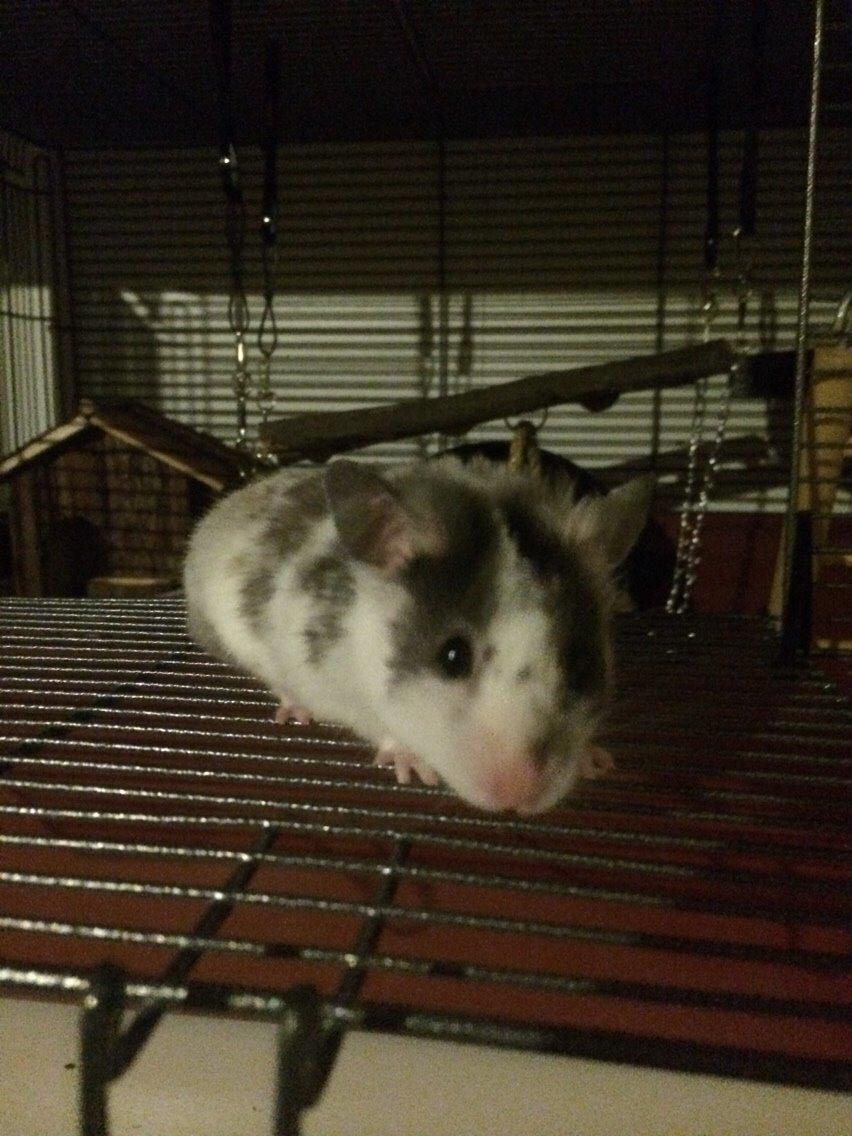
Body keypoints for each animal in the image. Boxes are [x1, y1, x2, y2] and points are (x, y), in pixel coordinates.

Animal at [183, 456, 654, 815]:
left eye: (580, 663)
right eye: (452, 656)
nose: (517, 801)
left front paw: (598, 760)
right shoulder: (336, 684)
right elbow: (382, 725)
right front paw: (416, 769)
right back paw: (296, 712)